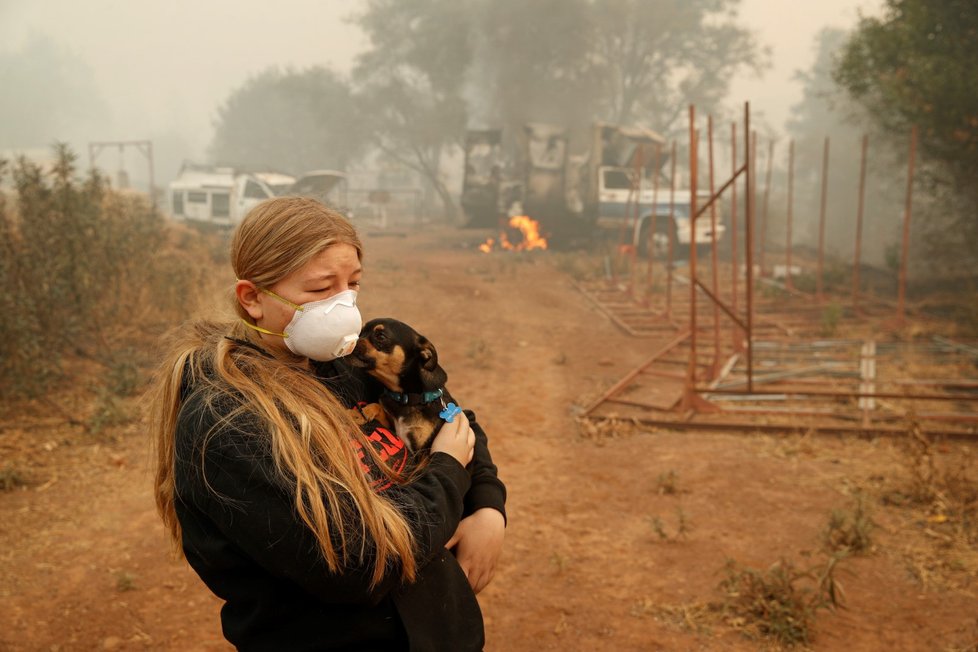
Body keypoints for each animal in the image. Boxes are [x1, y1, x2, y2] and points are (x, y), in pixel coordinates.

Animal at [348, 318, 460, 450]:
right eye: (360, 332)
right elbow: (376, 405)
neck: (405, 398)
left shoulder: (422, 450)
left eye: (381, 336)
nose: (351, 342)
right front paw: (360, 413)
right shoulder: (392, 428)